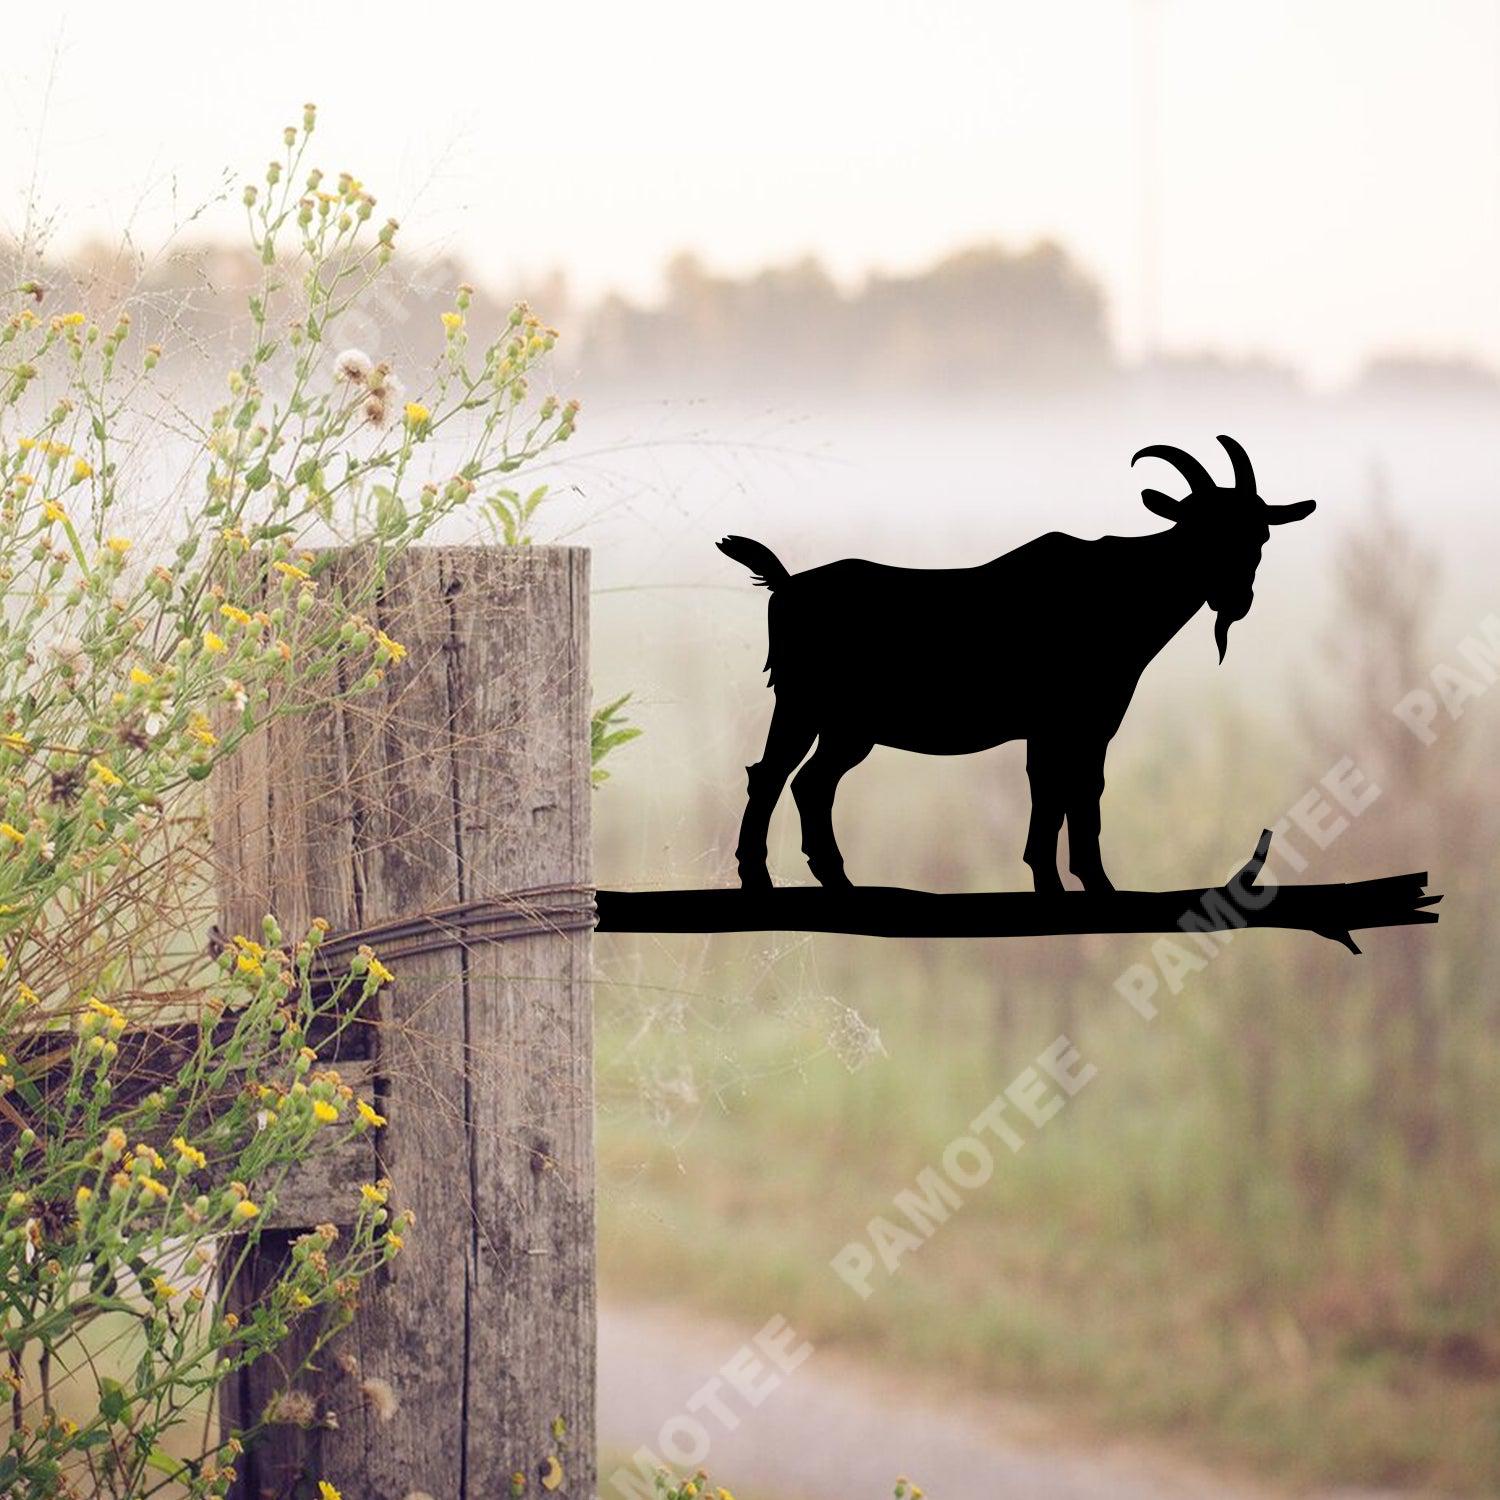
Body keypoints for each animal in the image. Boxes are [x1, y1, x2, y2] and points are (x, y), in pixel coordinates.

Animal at [718, 435, 1315, 893]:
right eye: (1199, 529)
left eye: (1260, 533)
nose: (1236, 599)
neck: (1119, 589)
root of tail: (785, 585)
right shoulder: (1064, 723)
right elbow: (1062, 791)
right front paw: (1075, 884)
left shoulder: (1079, 726)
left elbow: (1072, 790)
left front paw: (1075, 882)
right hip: (803, 702)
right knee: (771, 774)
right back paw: (758, 878)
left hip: (847, 726)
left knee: (809, 783)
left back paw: (837, 880)